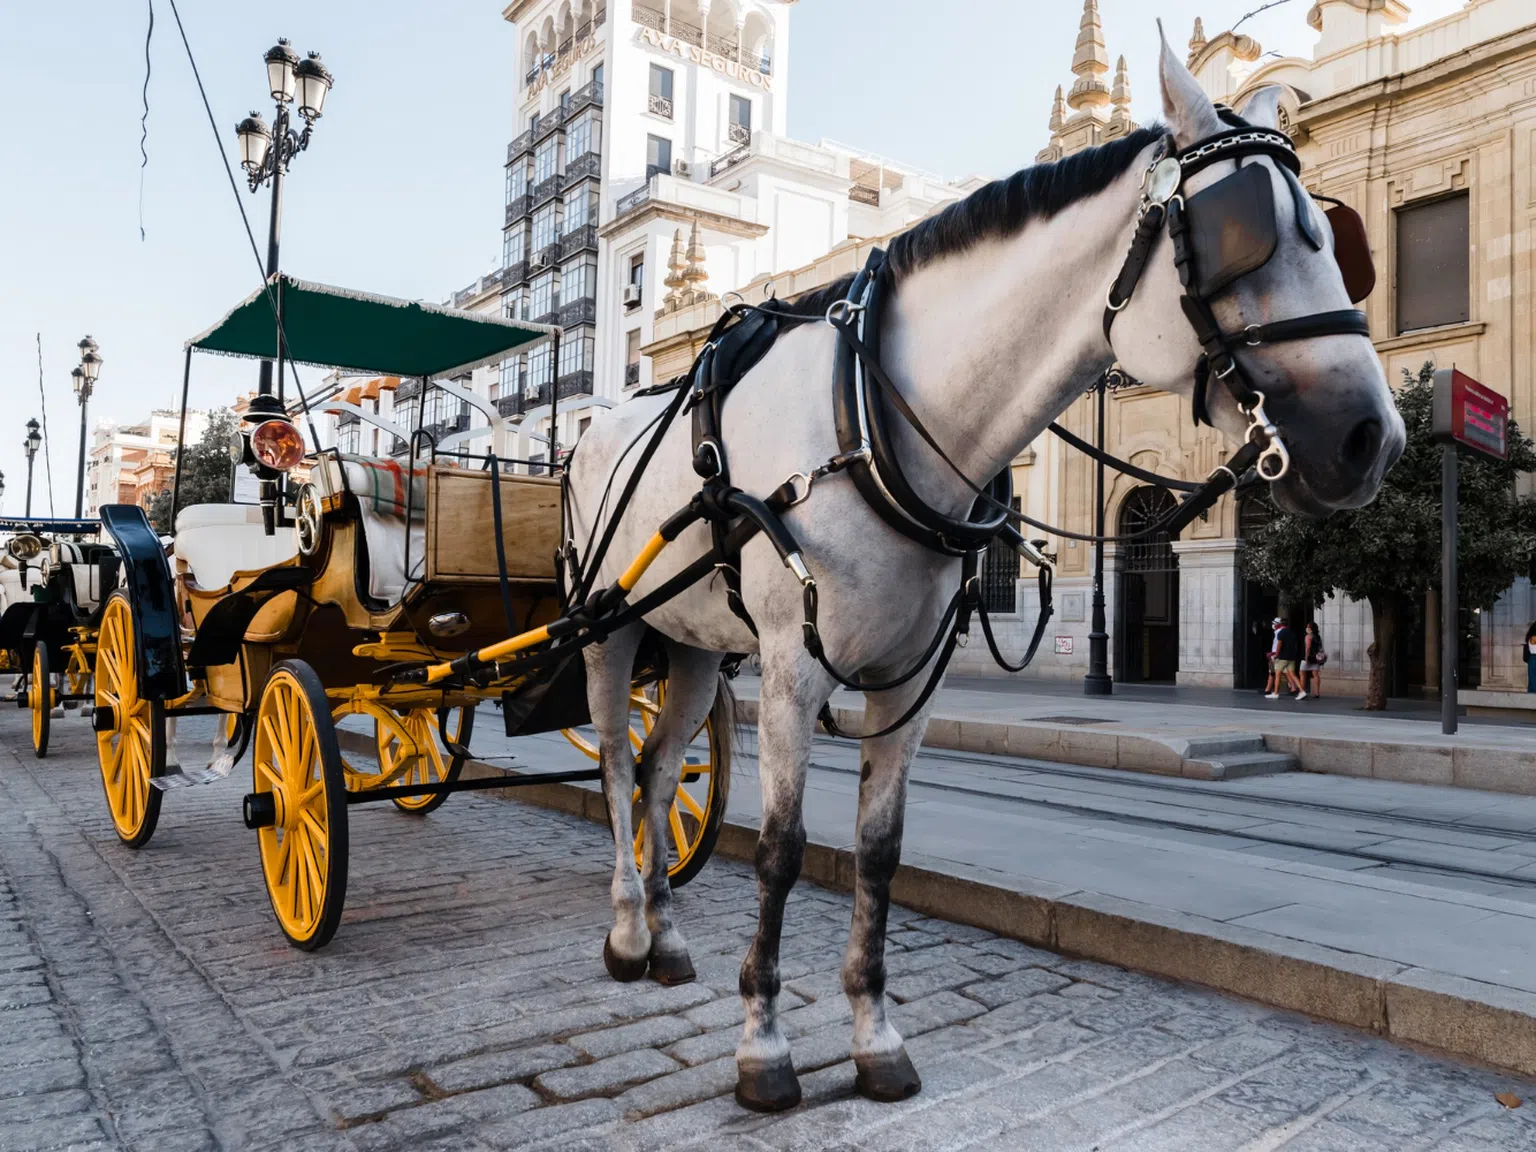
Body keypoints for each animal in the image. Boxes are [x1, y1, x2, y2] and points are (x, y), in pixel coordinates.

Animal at [565, 36, 1406, 1112]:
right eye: (1245, 235)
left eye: (1336, 239)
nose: (1368, 438)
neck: (870, 411)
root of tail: (601, 420)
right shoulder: (792, 672)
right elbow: (782, 851)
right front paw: (764, 1047)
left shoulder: (911, 677)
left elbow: (880, 852)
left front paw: (874, 1036)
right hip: (612, 628)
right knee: (618, 770)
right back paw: (629, 928)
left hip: (696, 645)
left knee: (665, 769)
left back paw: (667, 938)